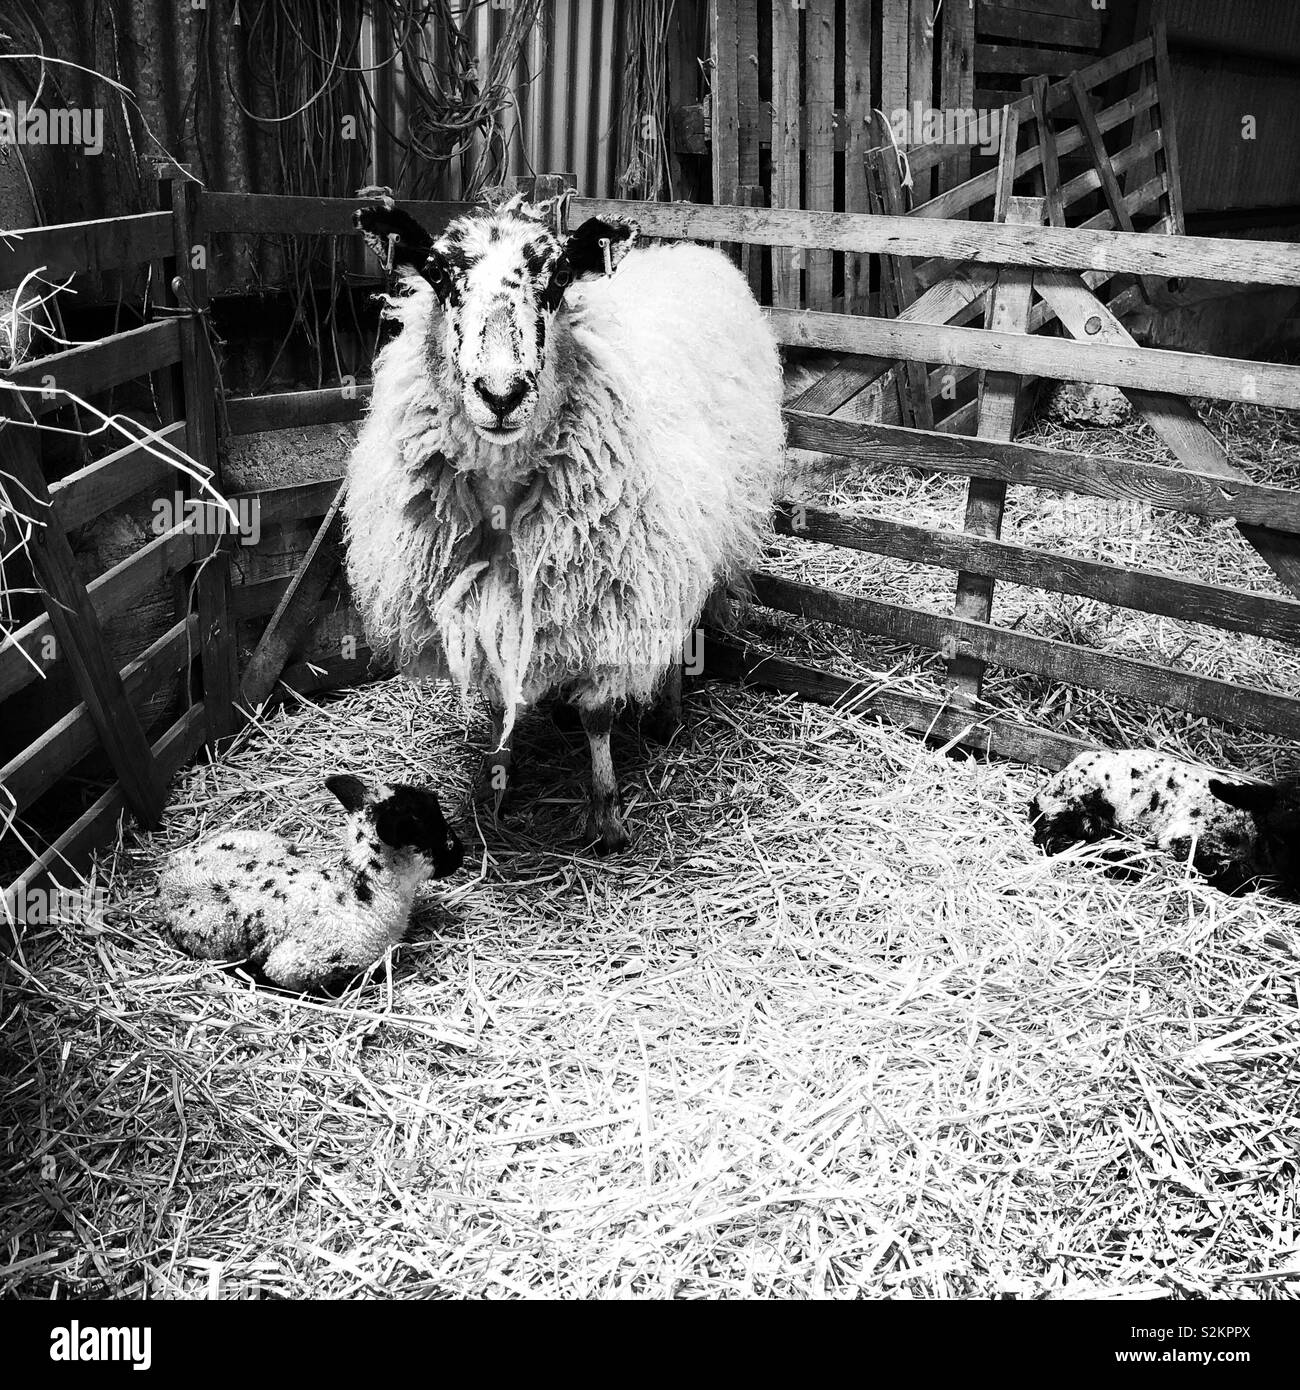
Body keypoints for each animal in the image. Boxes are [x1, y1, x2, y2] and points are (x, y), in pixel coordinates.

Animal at [344, 192, 786, 852]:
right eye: (441, 275)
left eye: (555, 280)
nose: (501, 393)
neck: (502, 500)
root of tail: (690, 251)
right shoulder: (493, 604)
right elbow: (503, 692)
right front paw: (495, 783)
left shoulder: (615, 601)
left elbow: (598, 715)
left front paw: (607, 817)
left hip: (693, 545)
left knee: (682, 627)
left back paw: (667, 717)